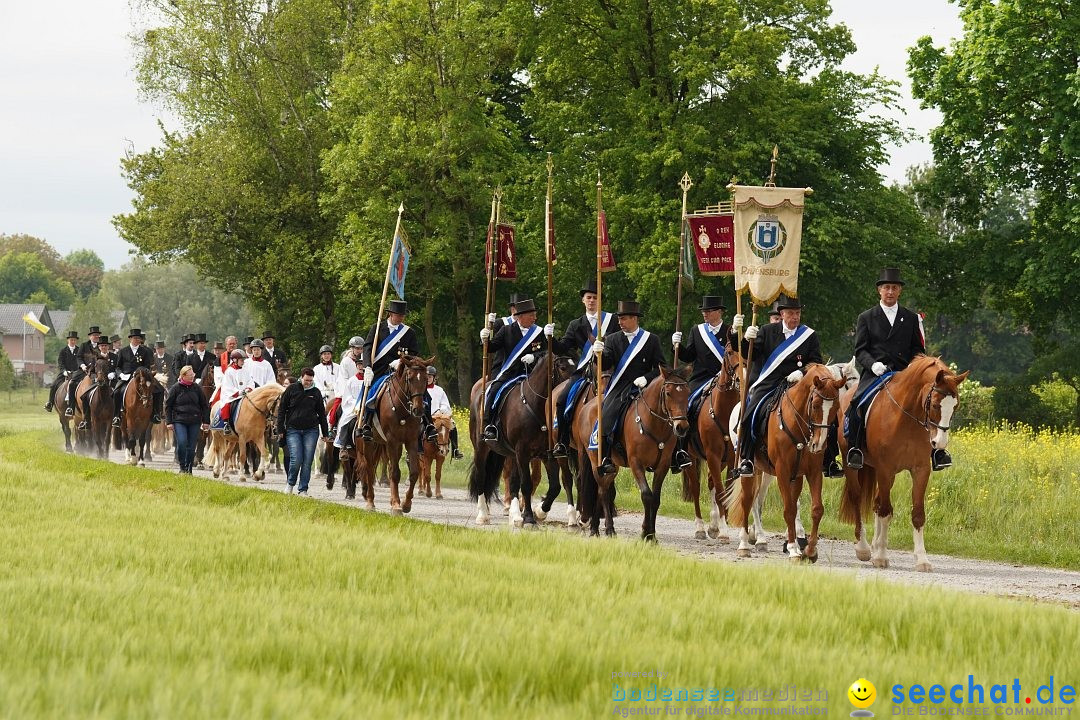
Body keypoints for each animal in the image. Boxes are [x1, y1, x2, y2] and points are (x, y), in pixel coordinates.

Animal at [341, 354, 434, 511]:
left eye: (426, 379)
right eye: (410, 378)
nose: (419, 409)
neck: (402, 409)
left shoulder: (411, 441)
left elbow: (414, 473)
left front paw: (406, 504)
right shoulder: (392, 440)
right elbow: (395, 473)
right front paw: (396, 505)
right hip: (367, 444)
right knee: (369, 469)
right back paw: (370, 501)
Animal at [468, 351, 578, 526]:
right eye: (562, 367)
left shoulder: (547, 454)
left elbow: (554, 486)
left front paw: (539, 512)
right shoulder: (522, 452)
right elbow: (526, 484)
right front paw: (529, 518)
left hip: (511, 454)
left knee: (512, 480)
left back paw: (514, 514)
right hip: (481, 448)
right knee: (481, 476)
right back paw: (483, 515)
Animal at [570, 367, 686, 539]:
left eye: (687, 392)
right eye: (668, 393)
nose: (681, 427)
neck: (654, 424)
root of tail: (586, 407)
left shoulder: (662, 466)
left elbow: (656, 498)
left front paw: (651, 535)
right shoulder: (636, 463)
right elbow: (646, 495)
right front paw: (645, 533)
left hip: (612, 466)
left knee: (602, 490)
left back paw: (595, 528)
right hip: (594, 460)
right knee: (603, 490)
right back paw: (609, 529)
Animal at [682, 343, 743, 539]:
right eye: (729, 352)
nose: (739, 379)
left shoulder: (730, 459)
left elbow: (725, 491)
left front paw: (721, 525)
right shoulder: (713, 455)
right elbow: (719, 491)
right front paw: (723, 530)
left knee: (710, 483)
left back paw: (713, 525)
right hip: (692, 457)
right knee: (695, 487)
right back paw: (700, 527)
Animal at [833, 356, 972, 574]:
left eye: (955, 406)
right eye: (934, 404)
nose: (939, 443)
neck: (908, 417)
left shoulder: (921, 470)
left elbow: (917, 514)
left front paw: (922, 560)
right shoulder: (886, 469)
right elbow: (885, 511)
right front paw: (881, 556)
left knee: (876, 503)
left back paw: (875, 545)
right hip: (855, 467)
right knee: (858, 499)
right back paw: (864, 548)